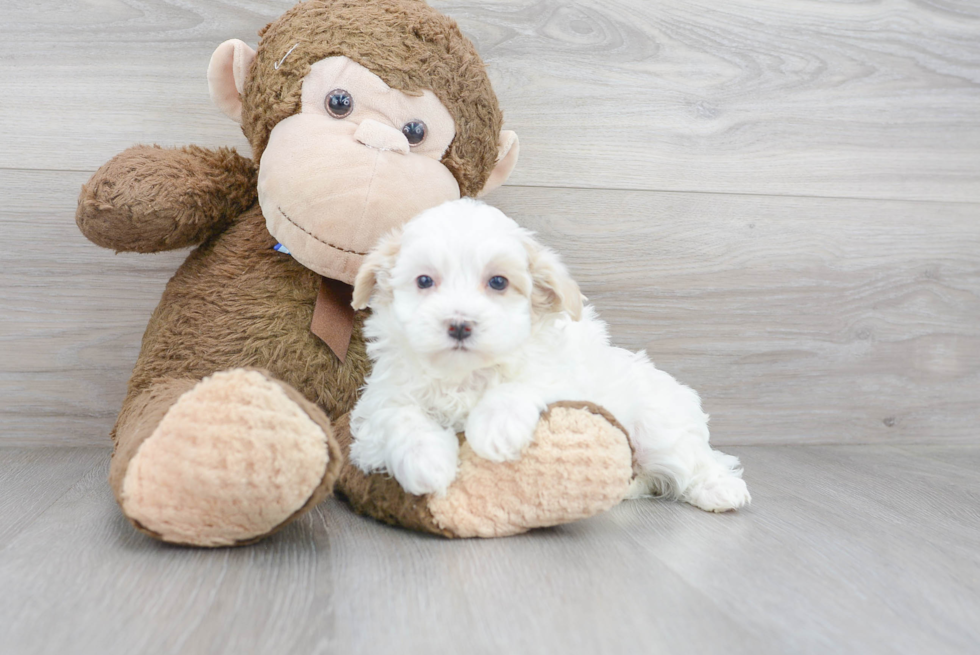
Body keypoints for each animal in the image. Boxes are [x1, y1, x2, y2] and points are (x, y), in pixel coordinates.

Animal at [350, 197, 752, 516]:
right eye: (424, 281)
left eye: (498, 282)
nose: (460, 325)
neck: (464, 375)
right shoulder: (381, 400)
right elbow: (399, 416)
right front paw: (427, 461)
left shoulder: (562, 375)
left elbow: (524, 384)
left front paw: (495, 429)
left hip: (659, 429)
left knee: (694, 460)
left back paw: (720, 489)